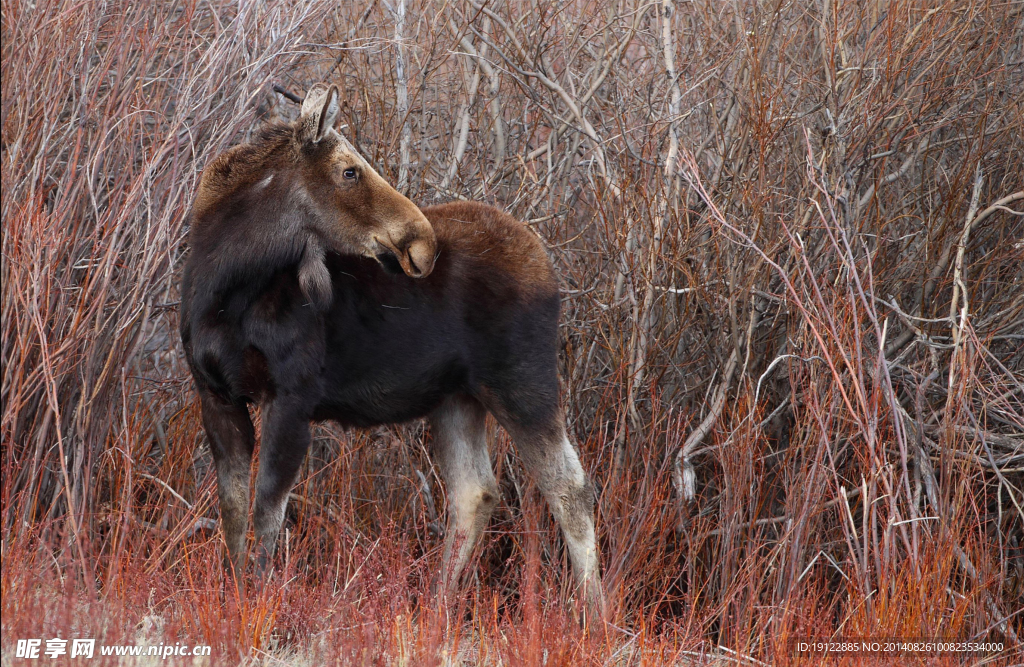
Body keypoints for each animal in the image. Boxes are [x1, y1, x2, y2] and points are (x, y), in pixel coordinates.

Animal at [181, 85, 602, 614]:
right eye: (349, 170)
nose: (421, 242)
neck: (224, 290)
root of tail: (548, 264)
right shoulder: (215, 396)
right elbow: (235, 515)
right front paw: (236, 599)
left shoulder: (292, 398)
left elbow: (267, 514)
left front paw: (257, 605)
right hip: (457, 398)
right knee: (475, 492)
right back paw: (437, 611)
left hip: (524, 383)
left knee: (570, 489)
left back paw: (597, 616)